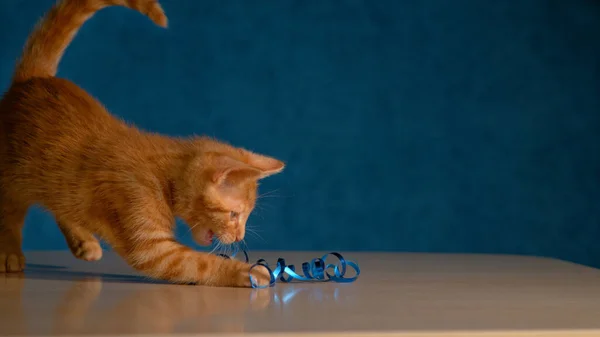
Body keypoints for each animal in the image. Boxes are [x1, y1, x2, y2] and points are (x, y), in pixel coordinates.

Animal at [0, 0, 284, 286]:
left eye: (244, 216)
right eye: (234, 215)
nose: (239, 237)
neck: (162, 174)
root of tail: (32, 80)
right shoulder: (153, 246)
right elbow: (202, 264)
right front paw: (251, 272)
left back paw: (83, 240)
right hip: (11, 176)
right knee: (9, 212)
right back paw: (9, 253)